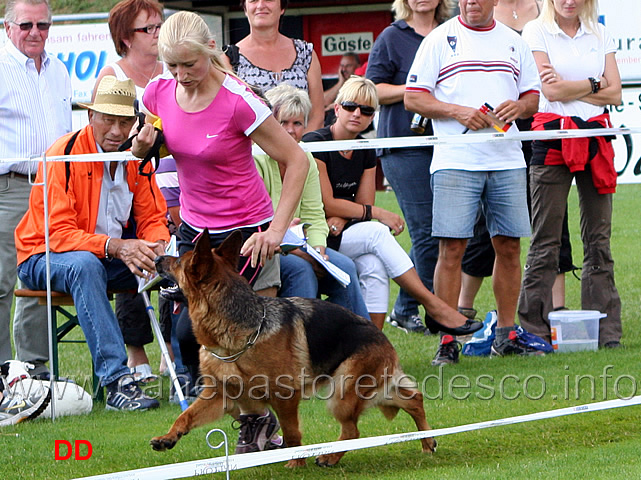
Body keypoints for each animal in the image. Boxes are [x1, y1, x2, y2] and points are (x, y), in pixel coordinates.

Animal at [151, 231, 436, 466]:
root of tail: (381, 336)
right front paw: (168, 437)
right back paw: (427, 440)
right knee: (413, 399)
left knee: (353, 430)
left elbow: (291, 432)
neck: (235, 334)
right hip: (370, 390)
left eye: (178, 262)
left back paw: (330, 457)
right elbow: (185, 416)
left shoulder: (285, 396)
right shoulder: (218, 396)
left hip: (343, 393)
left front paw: (296, 463)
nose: (156, 258)